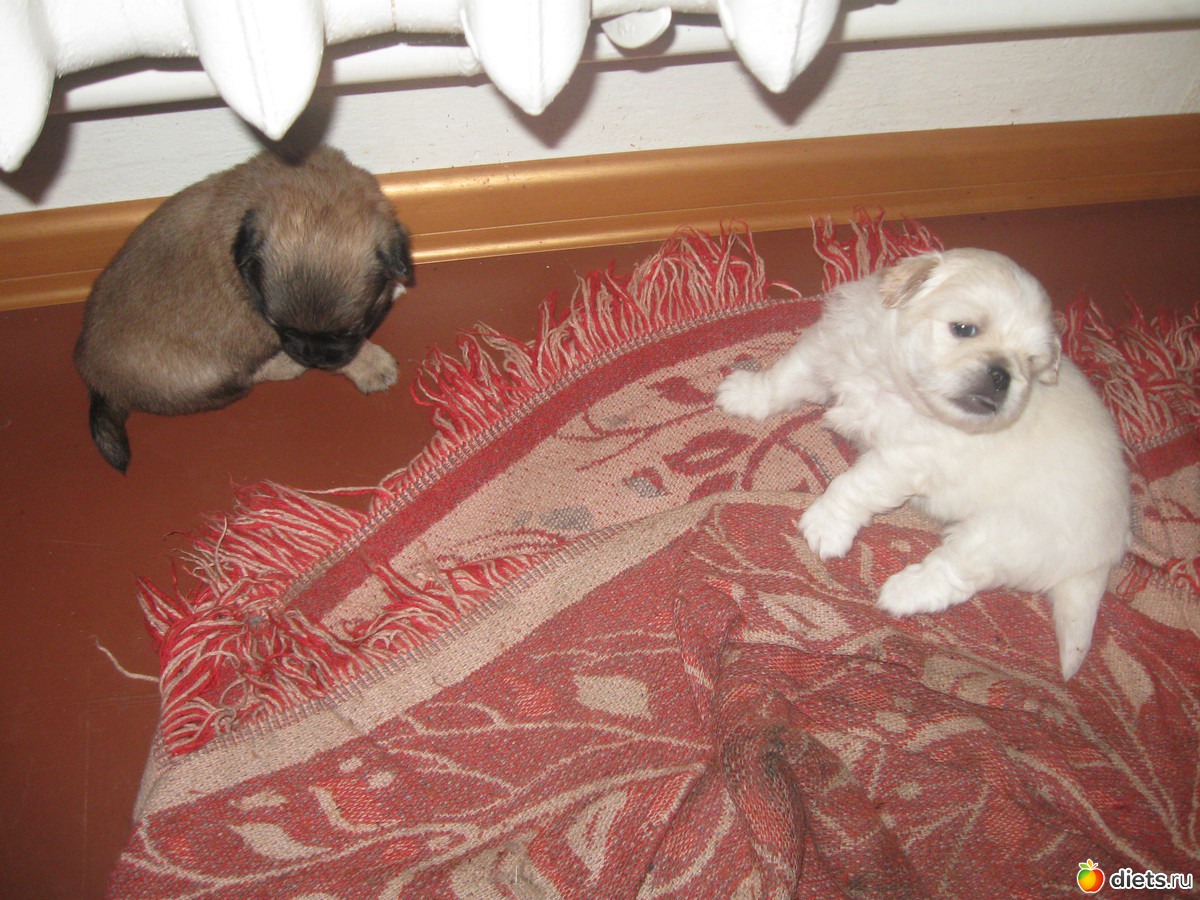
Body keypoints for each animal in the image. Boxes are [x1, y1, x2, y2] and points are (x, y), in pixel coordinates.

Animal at [74, 146, 413, 473]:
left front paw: (396, 284)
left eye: (348, 331)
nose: (310, 356)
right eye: (281, 326)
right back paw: (286, 366)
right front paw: (371, 365)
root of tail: (100, 384)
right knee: (244, 379)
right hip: (207, 373)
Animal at [717, 248, 1131, 679]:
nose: (1003, 375)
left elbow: (852, 485)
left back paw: (902, 592)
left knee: (958, 570)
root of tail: (1103, 556)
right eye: (964, 329)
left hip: (1005, 534)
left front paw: (826, 525)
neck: (898, 388)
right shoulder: (825, 353)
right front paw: (747, 394)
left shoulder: (901, 460)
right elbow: (785, 378)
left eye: (1030, 363)